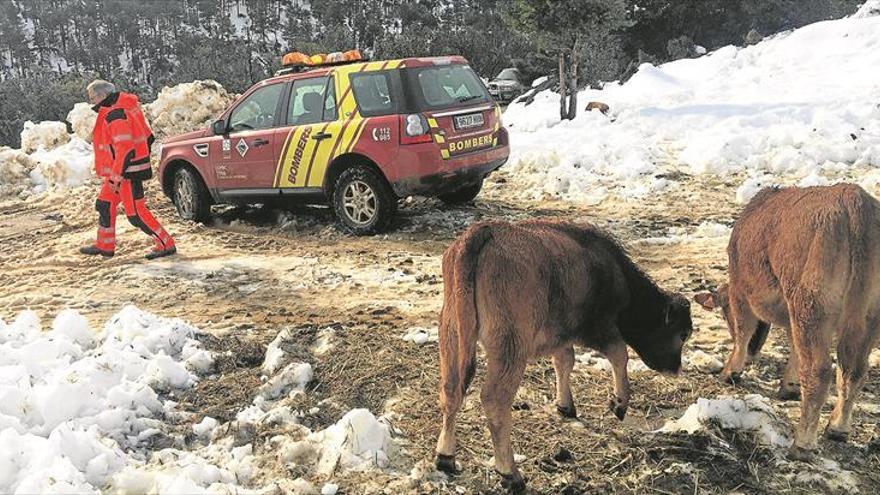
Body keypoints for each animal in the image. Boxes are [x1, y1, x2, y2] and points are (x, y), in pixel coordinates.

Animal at [436, 220, 692, 492]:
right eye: (682, 334)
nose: (676, 368)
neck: (614, 271)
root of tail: (483, 232)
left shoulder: (561, 336)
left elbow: (564, 362)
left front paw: (565, 406)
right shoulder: (599, 329)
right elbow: (619, 356)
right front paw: (618, 404)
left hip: (451, 335)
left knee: (451, 390)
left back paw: (445, 458)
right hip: (510, 349)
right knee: (495, 400)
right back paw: (510, 474)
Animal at [696, 184, 880, 460]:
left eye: (725, 313)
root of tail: (855, 201)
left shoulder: (740, 292)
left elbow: (742, 331)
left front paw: (730, 372)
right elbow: (793, 346)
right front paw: (789, 386)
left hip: (811, 306)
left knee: (818, 370)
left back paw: (802, 444)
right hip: (866, 316)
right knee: (853, 370)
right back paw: (837, 428)